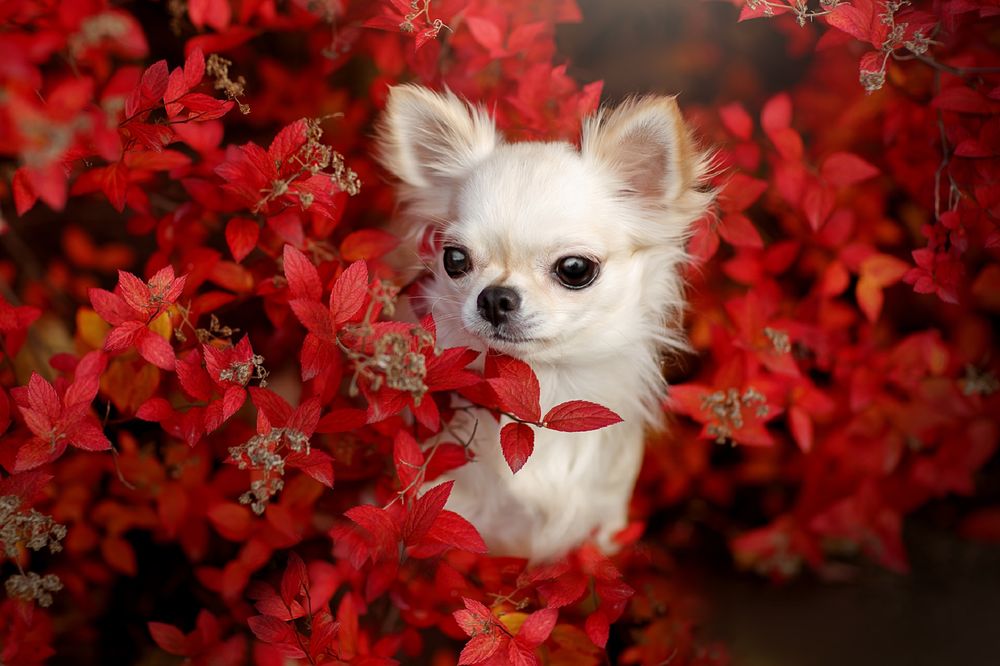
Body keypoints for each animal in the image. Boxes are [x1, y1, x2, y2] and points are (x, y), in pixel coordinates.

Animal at [376, 84, 712, 560]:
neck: (547, 381)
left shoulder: (605, 522)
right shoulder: (451, 514)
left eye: (575, 269)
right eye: (454, 260)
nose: (495, 297)